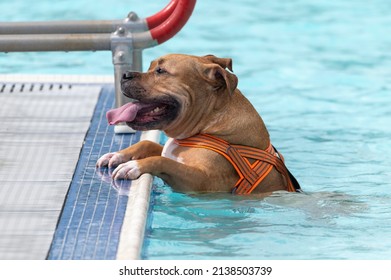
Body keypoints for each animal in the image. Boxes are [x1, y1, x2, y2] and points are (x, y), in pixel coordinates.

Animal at [96, 54, 302, 195]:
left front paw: (134, 166)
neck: (208, 123)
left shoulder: (203, 181)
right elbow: (147, 144)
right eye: (150, 66)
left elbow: (163, 161)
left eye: (161, 71)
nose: (125, 74)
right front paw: (118, 155)